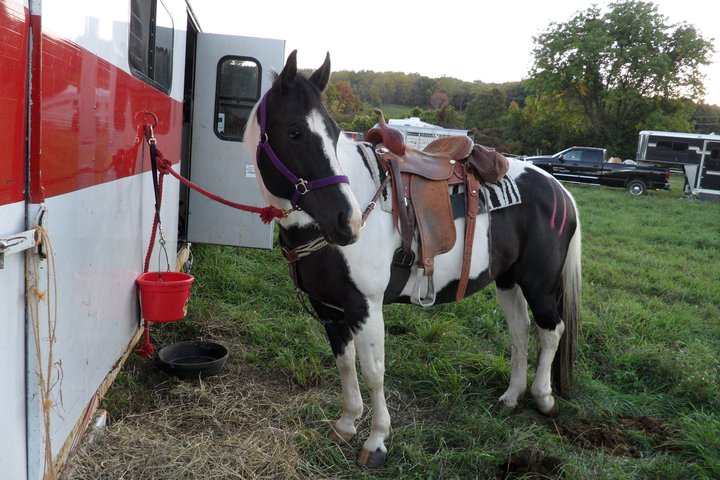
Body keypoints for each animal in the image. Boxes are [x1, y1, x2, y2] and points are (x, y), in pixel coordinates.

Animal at [245, 52, 584, 468]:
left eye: (335, 131)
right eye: (294, 132)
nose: (348, 221)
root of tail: (558, 188)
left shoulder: (365, 306)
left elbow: (373, 371)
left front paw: (376, 441)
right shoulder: (329, 308)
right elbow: (344, 363)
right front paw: (346, 423)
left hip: (540, 282)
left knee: (551, 331)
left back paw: (544, 398)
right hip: (508, 280)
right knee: (520, 332)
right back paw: (510, 398)